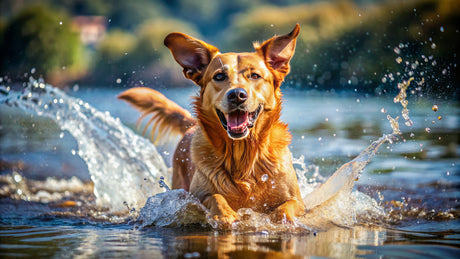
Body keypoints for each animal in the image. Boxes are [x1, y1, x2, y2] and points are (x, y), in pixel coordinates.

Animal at [118, 24, 306, 228]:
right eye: (219, 76)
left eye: (255, 75)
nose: (237, 95)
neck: (242, 156)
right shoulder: (194, 196)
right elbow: (215, 197)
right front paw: (224, 214)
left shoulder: (298, 201)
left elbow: (287, 206)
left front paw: (282, 219)